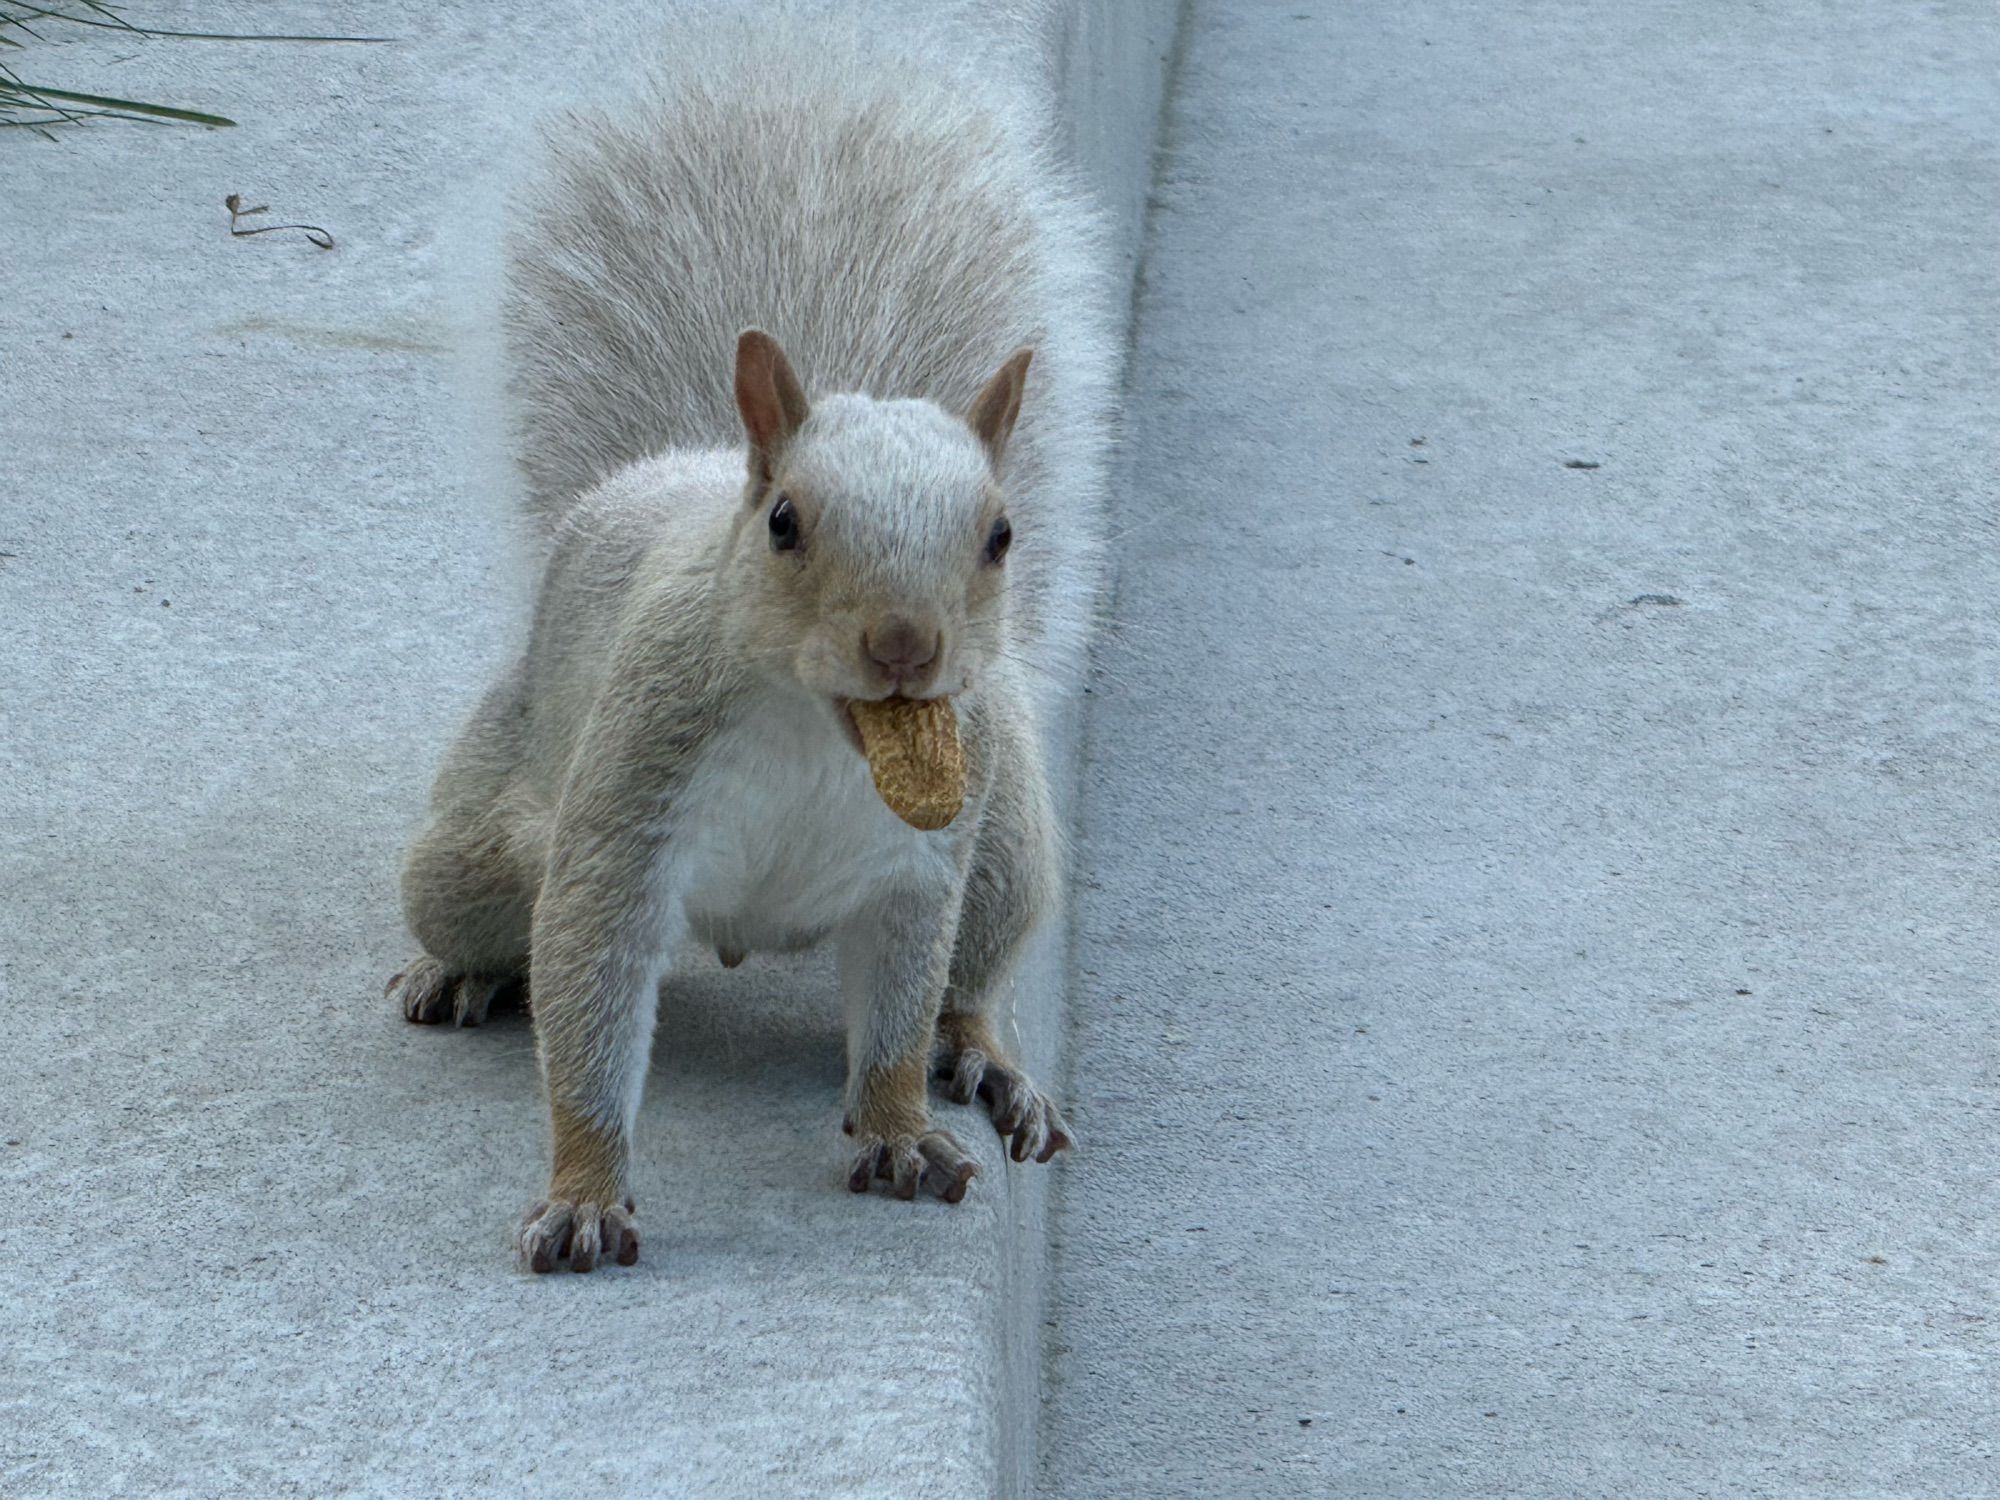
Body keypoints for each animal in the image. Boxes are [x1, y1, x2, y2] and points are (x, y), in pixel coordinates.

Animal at [382, 17, 1120, 1272]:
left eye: (1001, 534)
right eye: (783, 524)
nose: (904, 645)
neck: (822, 732)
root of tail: (659, 473)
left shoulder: (924, 860)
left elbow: (899, 1006)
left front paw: (900, 1131)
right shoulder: (628, 811)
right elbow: (590, 986)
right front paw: (584, 1194)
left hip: (1009, 843)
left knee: (970, 971)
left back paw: (986, 1060)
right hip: (476, 845)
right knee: (484, 914)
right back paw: (457, 972)